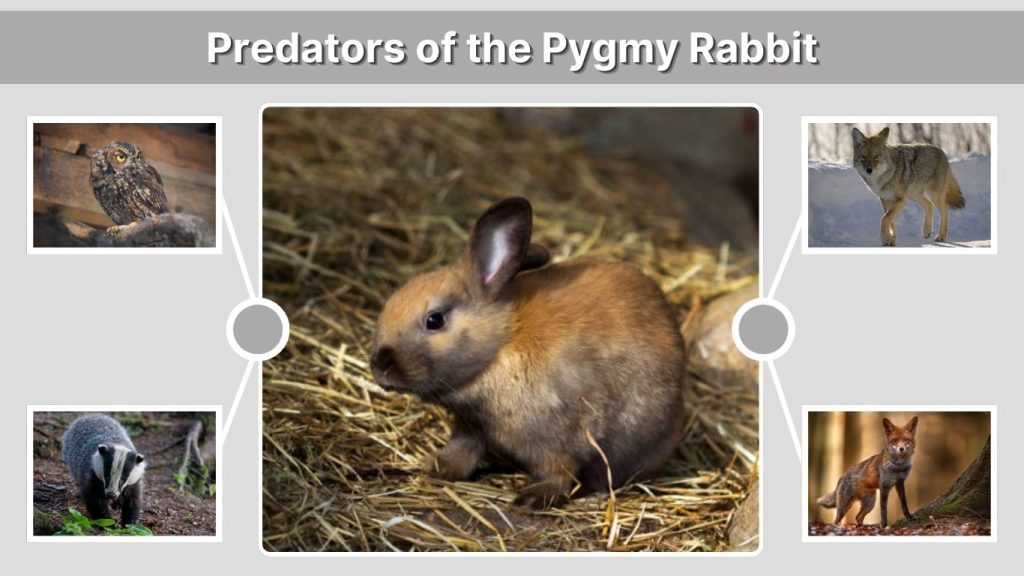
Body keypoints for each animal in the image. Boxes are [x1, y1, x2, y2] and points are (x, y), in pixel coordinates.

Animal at [370, 197, 687, 508]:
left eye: (434, 320)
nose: (380, 366)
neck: (500, 346)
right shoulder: (471, 426)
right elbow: (461, 452)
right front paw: (436, 469)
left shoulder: (557, 440)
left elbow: (557, 473)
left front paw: (530, 499)